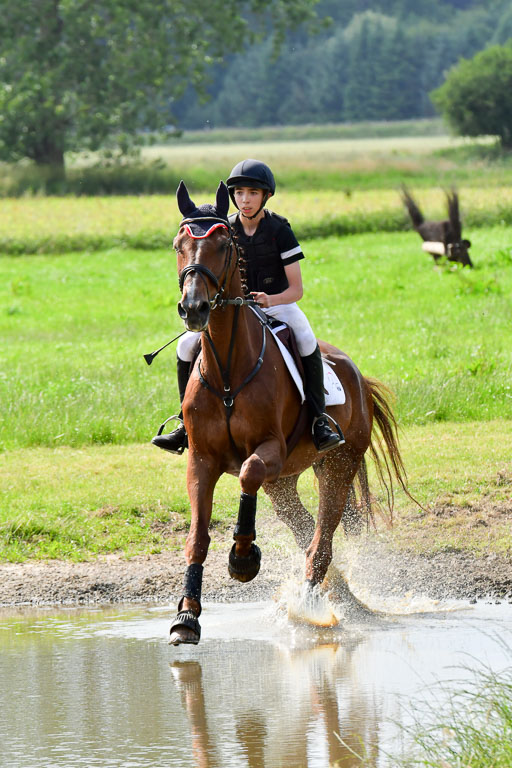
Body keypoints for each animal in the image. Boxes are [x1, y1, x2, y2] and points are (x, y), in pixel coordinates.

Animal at [168, 180, 410, 645]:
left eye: (223, 245)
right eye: (179, 245)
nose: (194, 309)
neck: (229, 371)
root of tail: (357, 375)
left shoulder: (269, 450)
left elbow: (246, 474)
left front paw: (243, 560)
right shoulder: (201, 460)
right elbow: (197, 538)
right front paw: (187, 616)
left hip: (337, 464)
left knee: (321, 539)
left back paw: (311, 606)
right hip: (283, 483)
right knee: (303, 530)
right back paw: (337, 596)